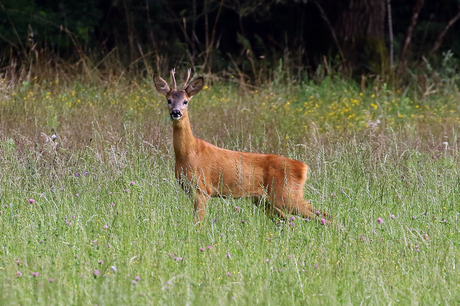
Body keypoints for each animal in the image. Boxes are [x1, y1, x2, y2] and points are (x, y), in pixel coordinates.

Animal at [154, 69, 328, 227]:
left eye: (186, 101)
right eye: (168, 100)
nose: (176, 112)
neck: (188, 152)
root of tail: (303, 167)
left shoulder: (202, 188)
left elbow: (198, 223)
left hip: (287, 194)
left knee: (323, 216)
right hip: (264, 200)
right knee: (290, 219)